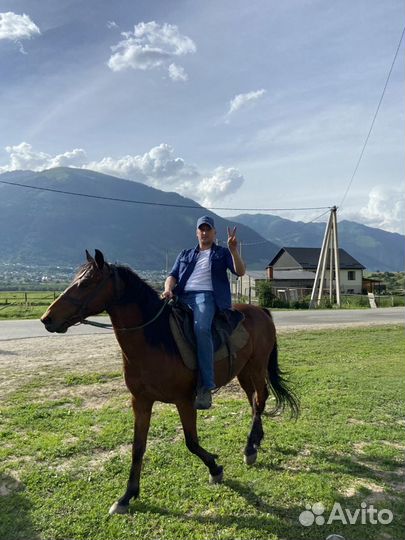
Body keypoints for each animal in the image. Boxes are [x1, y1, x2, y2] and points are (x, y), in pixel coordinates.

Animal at [41, 249, 298, 516]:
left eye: (86, 283)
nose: (47, 318)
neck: (156, 340)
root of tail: (261, 311)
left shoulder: (185, 401)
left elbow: (191, 442)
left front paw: (215, 469)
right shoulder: (141, 402)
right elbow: (137, 448)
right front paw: (127, 496)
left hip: (256, 367)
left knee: (261, 399)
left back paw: (249, 449)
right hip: (244, 371)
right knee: (254, 401)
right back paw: (255, 441)